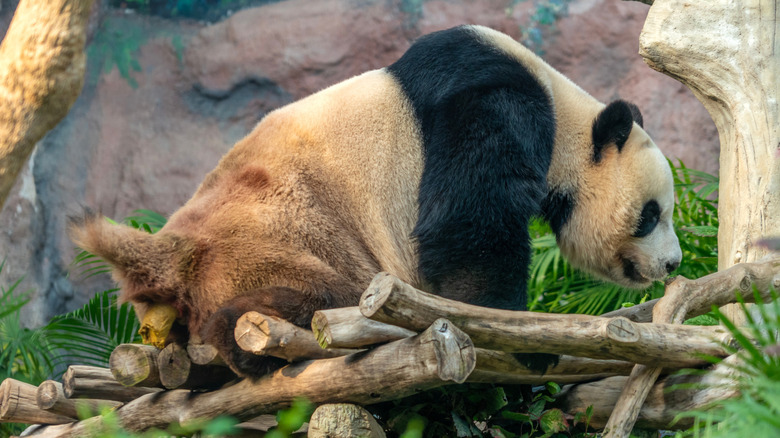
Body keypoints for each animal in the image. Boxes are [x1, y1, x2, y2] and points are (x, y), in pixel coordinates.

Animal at [69, 25, 682, 378]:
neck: (564, 114)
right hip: (278, 237)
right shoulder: (492, 103)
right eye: (651, 214)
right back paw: (240, 332)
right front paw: (524, 338)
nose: (673, 262)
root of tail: (170, 252)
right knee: (323, 297)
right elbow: (468, 227)